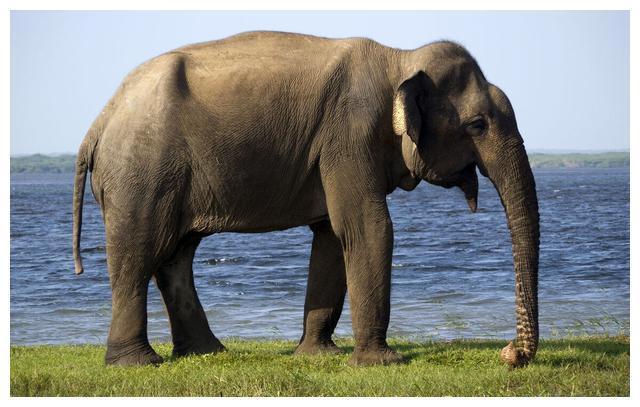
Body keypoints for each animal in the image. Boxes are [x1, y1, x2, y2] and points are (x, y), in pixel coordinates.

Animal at [72, 31, 539, 368]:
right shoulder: (349, 134)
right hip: (141, 172)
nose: (512, 354)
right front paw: (382, 362)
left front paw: (319, 355)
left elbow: (332, 236)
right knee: (139, 253)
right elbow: (368, 227)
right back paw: (136, 363)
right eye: (477, 124)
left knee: (176, 256)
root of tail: (98, 123)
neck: (399, 58)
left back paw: (207, 352)